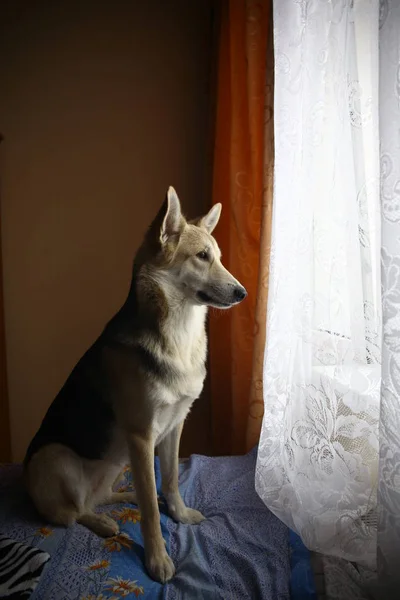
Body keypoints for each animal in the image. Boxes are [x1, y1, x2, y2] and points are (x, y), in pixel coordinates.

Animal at [24, 186, 247, 580]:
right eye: (202, 256)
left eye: (218, 257)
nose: (243, 293)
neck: (179, 334)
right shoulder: (142, 436)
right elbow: (151, 516)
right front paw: (158, 559)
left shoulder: (174, 427)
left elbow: (170, 481)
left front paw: (179, 512)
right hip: (57, 457)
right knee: (70, 513)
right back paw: (102, 522)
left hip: (119, 462)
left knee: (107, 496)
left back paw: (124, 498)